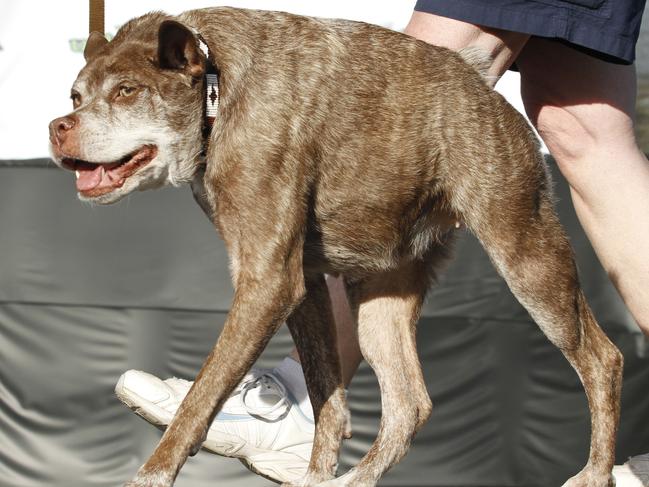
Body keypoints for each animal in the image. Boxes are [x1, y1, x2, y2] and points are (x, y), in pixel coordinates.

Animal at [48, 7, 620, 487]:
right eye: (75, 97)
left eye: (126, 91)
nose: (57, 127)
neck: (215, 85)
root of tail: (484, 89)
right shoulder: (301, 281)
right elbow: (329, 399)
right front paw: (317, 475)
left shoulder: (268, 283)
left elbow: (199, 399)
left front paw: (152, 473)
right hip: (381, 299)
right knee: (409, 404)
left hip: (528, 259)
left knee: (602, 359)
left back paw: (595, 473)